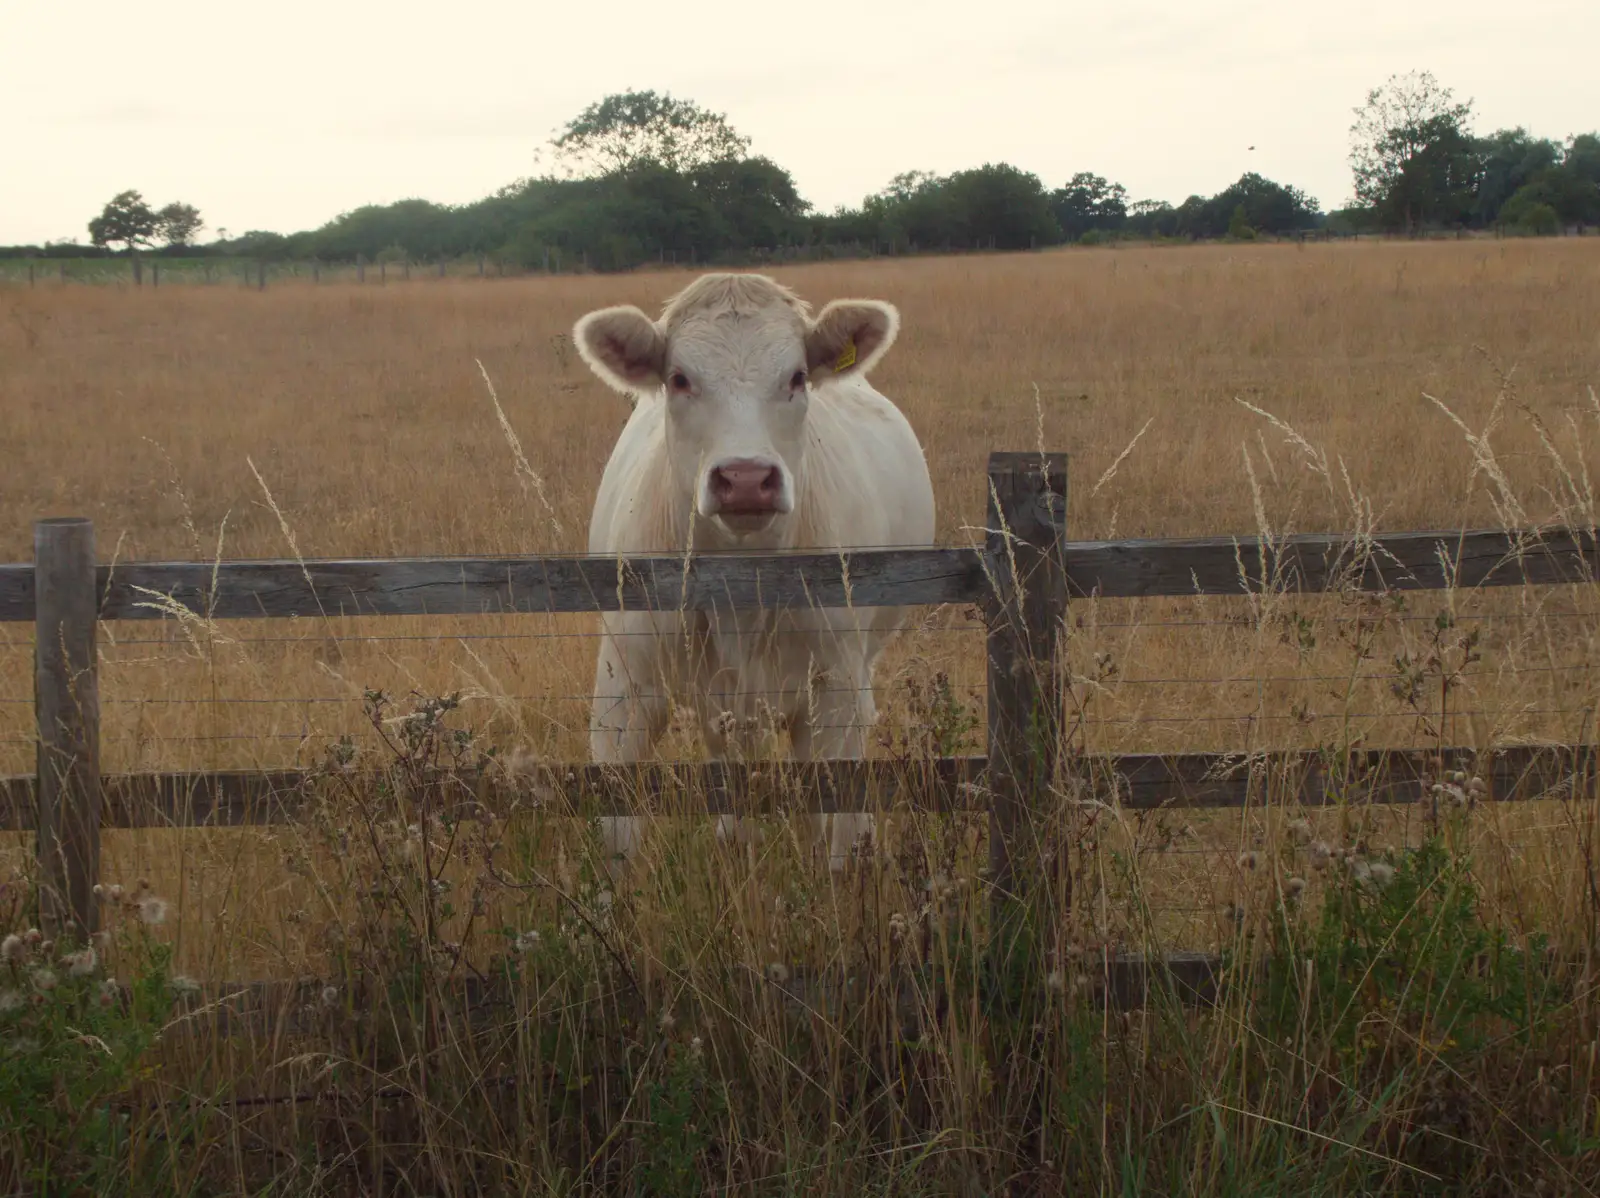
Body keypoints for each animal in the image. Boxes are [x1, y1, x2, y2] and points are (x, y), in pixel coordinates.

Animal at [572, 271, 936, 872]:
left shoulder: (835, 689)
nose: (745, 478)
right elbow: (619, 836)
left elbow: (839, 826)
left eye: (796, 377)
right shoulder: (623, 690)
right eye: (679, 378)